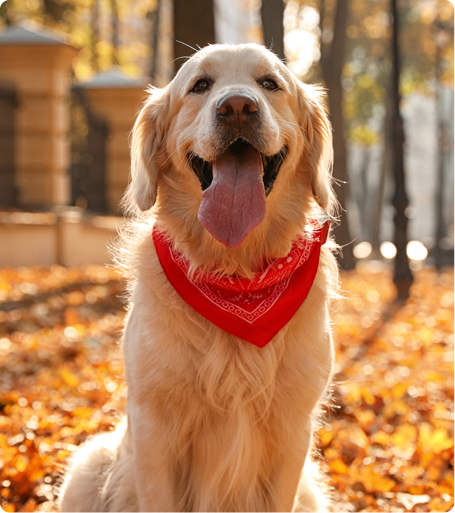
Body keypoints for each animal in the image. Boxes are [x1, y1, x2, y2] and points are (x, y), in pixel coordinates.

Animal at [58, 44, 338, 512]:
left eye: (270, 83)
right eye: (200, 85)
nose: (238, 107)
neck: (235, 274)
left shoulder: (292, 432)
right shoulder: (153, 429)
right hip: (87, 466)